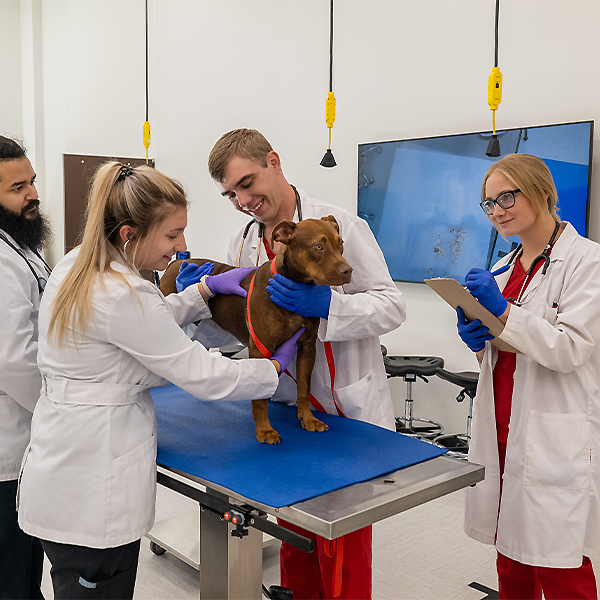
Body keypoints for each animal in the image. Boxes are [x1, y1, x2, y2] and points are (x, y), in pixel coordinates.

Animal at [162, 218, 354, 442]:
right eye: (318, 247)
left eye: (341, 243)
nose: (348, 271)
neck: (293, 285)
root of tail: (175, 263)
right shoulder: (260, 348)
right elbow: (261, 397)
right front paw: (264, 430)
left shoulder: (307, 347)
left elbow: (304, 388)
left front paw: (308, 419)